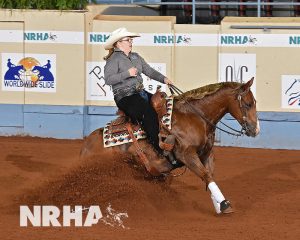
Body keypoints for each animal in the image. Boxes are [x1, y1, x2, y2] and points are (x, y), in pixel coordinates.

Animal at [81, 78, 258, 215]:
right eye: (248, 104)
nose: (255, 130)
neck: (195, 117)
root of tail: (86, 146)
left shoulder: (206, 154)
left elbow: (209, 176)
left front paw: (218, 205)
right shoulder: (187, 155)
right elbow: (205, 175)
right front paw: (224, 205)